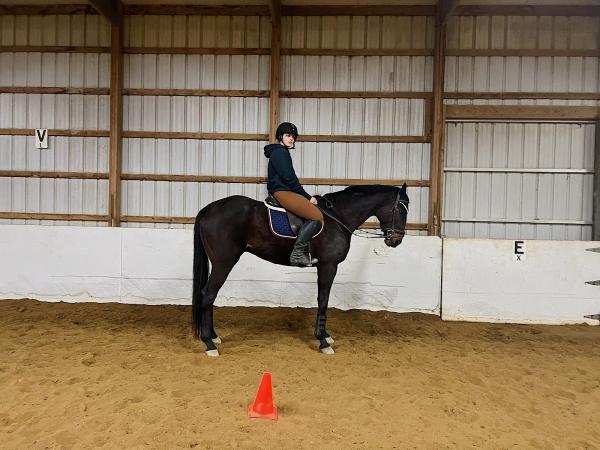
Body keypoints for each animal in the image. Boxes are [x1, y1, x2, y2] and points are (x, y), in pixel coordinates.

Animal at [195, 183, 410, 356]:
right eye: (402, 210)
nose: (396, 240)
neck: (338, 218)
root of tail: (208, 209)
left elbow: (323, 300)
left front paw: (326, 336)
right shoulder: (328, 265)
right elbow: (323, 300)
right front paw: (323, 341)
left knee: (210, 296)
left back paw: (213, 337)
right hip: (224, 262)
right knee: (208, 294)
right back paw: (209, 344)